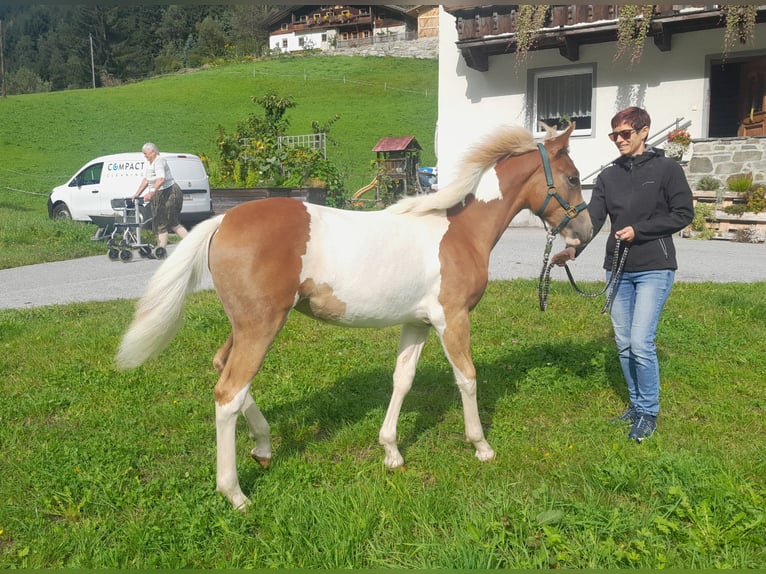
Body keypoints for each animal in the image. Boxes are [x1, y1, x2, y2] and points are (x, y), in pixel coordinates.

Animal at [116, 123, 593, 509]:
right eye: (572, 178)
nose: (585, 234)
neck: (458, 230)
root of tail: (222, 221)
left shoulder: (417, 323)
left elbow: (402, 380)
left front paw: (391, 452)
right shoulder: (451, 319)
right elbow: (468, 378)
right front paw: (482, 447)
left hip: (244, 325)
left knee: (223, 370)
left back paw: (264, 446)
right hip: (261, 326)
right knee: (228, 393)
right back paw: (235, 493)